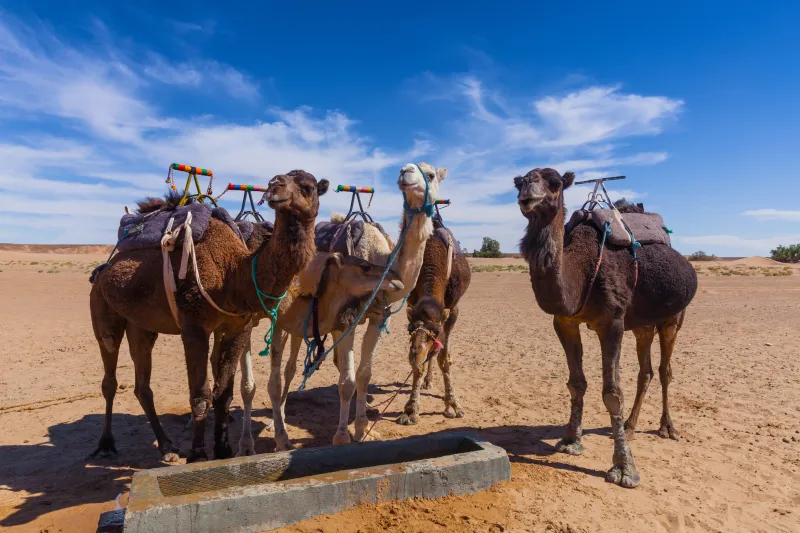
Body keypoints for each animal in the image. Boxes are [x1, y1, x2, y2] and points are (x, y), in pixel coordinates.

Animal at [92, 170, 330, 462]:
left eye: (308, 187)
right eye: (274, 181)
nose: (276, 187)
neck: (234, 273)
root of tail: (104, 268)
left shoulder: (239, 326)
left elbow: (224, 393)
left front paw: (224, 449)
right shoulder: (194, 326)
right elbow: (200, 395)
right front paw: (198, 455)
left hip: (141, 325)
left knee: (142, 384)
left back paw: (167, 446)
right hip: (102, 310)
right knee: (109, 373)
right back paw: (106, 444)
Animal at [234, 251, 404, 456]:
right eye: (365, 267)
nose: (396, 276)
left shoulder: (281, 320)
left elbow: (275, 383)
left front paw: (281, 440)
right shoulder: (247, 319)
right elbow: (249, 386)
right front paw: (246, 447)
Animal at [258, 162, 444, 448]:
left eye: (431, 174)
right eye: (405, 169)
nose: (405, 171)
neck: (378, 259)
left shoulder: (379, 318)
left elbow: (364, 374)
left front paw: (363, 428)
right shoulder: (346, 320)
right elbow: (346, 380)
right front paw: (342, 435)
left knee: (291, 368)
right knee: (280, 373)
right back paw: (274, 427)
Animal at [396, 212, 472, 424]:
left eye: (436, 331)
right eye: (409, 329)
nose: (415, 354)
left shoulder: (451, 310)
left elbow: (444, 359)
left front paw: (452, 405)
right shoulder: (412, 304)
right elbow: (420, 367)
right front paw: (411, 409)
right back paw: (427, 381)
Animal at [516, 168, 696, 488]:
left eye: (555, 183)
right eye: (520, 181)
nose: (527, 195)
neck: (579, 270)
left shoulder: (611, 322)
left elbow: (612, 393)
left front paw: (624, 468)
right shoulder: (564, 322)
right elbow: (576, 383)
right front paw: (571, 440)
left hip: (673, 318)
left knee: (665, 371)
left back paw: (667, 428)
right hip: (642, 324)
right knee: (646, 371)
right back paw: (630, 425)